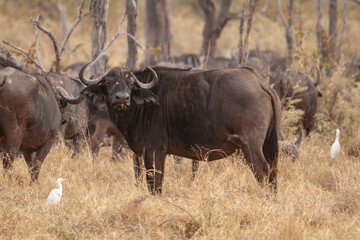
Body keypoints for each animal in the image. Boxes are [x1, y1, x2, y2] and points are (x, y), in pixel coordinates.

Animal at [66, 63, 282, 193]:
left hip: (250, 145)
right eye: (109, 82)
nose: (122, 98)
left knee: (263, 171)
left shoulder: (154, 150)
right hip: (266, 146)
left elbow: (154, 183)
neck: (142, 106)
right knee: (273, 172)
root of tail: (259, 82)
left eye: (130, 83)